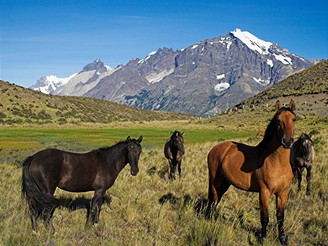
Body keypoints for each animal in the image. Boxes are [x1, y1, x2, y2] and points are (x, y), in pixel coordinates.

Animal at [206, 107, 296, 244]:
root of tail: (215, 148)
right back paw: (211, 221)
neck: (275, 162)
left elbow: (280, 217)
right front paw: (263, 238)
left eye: (294, 119)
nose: (287, 141)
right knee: (213, 200)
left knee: (216, 200)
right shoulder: (264, 192)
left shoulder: (283, 193)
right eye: (278, 120)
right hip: (215, 181)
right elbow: (264, 217)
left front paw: (282, 239)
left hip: (225, 183)